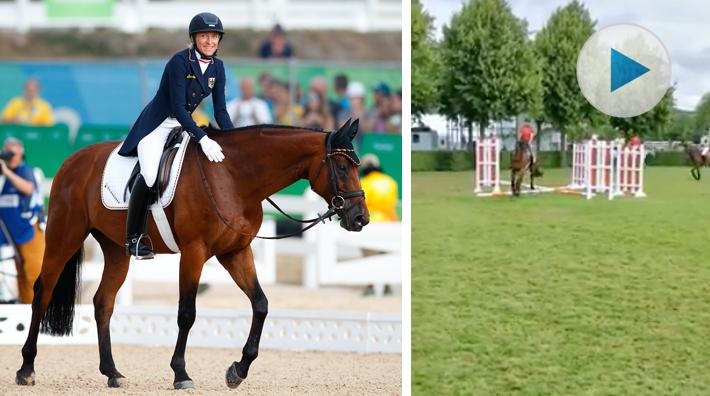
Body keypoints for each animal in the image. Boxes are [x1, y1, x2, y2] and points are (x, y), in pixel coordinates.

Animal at [13, 118, 370, 390]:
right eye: (341, 166)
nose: (360, 219)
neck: (234, 177)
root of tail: (72, 160)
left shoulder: (236, 252)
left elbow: (261, 304)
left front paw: (238, 370)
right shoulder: (194, 252)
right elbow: (187, 312)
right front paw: (181, 373)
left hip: (116, 250)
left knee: (103, 302)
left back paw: (112, 372)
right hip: (64, 236)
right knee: (42, 292)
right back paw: (26, 369)